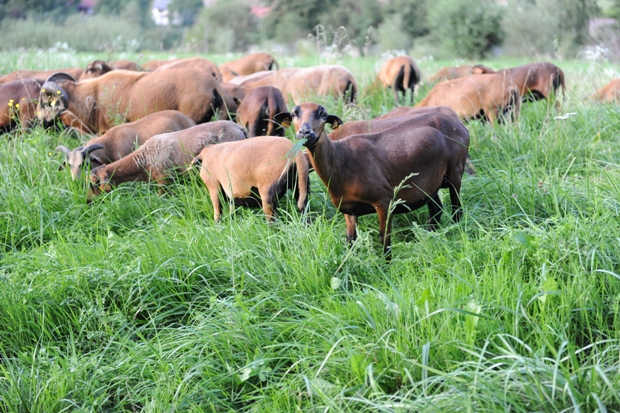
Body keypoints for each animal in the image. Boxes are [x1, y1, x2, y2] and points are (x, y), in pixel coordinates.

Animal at [274, 103, 468, 256]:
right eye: (294, 114)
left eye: (323, 115)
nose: (305, 132)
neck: (340, 157)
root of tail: (460, 125)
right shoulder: (348, 209)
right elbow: (350, 240)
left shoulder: (384, 201)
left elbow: (384, 238)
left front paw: (386, 268)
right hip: (430, 185)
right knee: (436, 210)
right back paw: (428, 237)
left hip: (455, 173)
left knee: (457, 210)